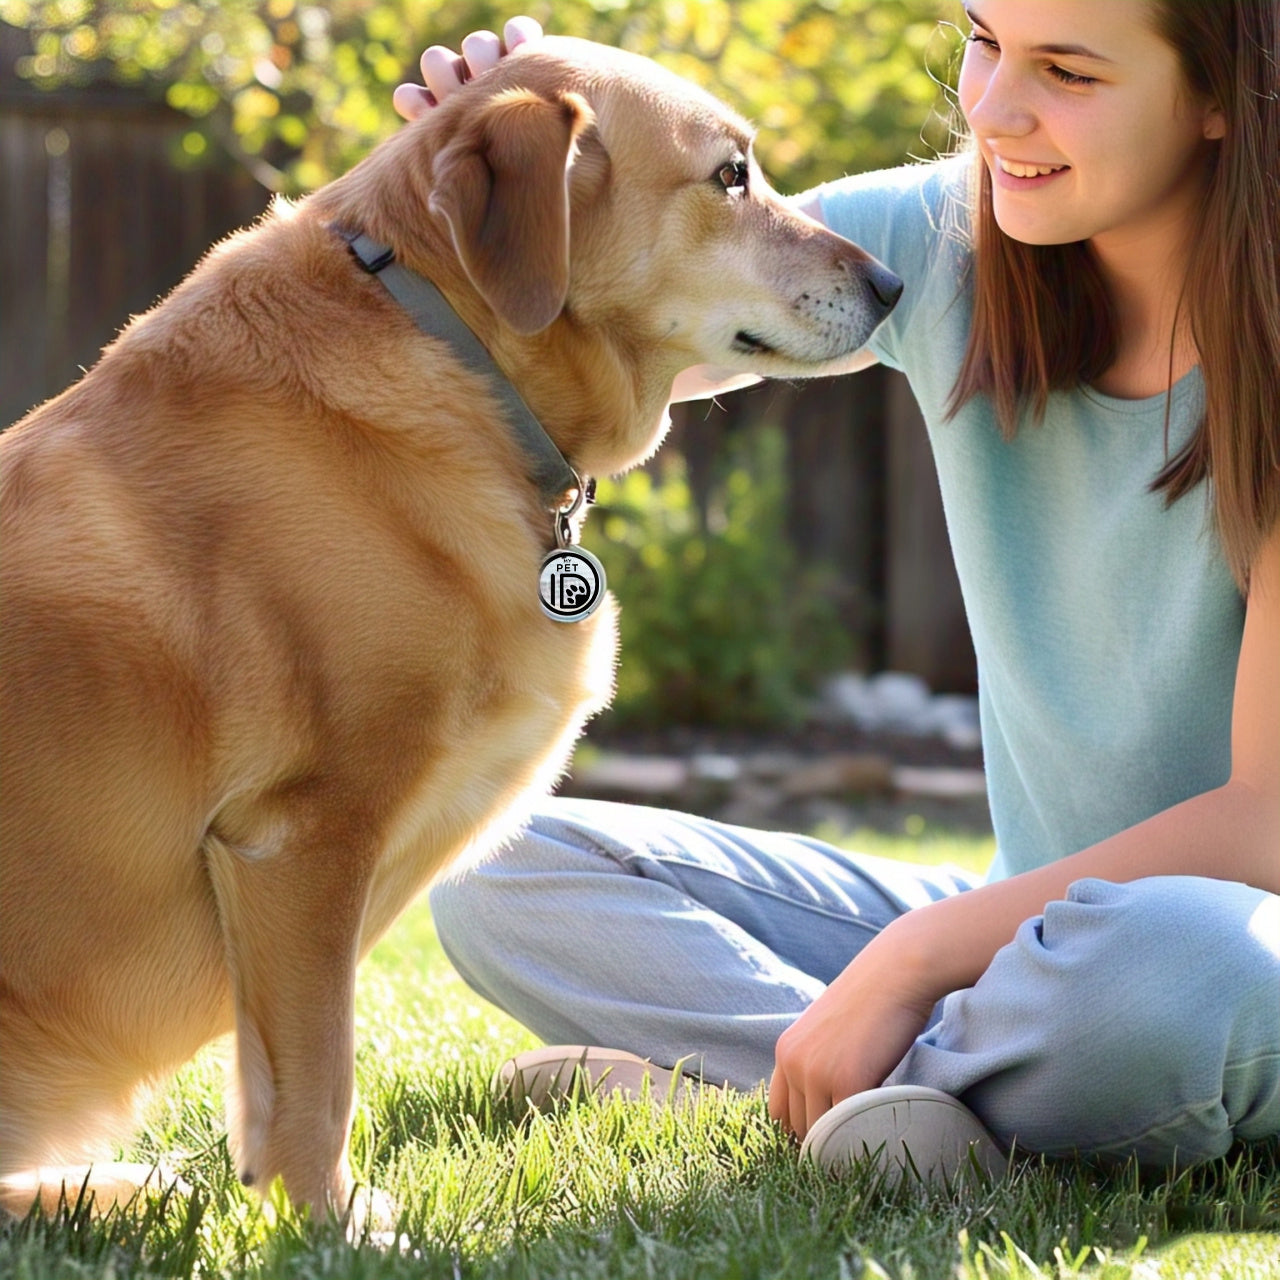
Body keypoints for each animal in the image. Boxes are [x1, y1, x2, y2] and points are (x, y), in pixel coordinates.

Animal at [0, 35, 900, 1220]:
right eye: (730, 176)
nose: (893, 284)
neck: (460, 354)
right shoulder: (302, 838)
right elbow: (316, 1076)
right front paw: (327, 1225)